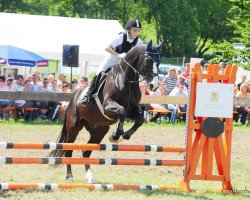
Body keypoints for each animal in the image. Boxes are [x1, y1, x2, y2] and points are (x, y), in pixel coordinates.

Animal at [49, 40, 165, 183]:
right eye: (148, 60)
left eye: (159, 62)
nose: (154, 85)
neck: (128, 80)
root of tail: (73, 96)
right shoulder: (108, 107)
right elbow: (121, 111)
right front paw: (115, 135)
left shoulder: (132, 109)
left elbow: (139, 120)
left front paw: (124, 136)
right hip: (74, 127)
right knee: (69, 149)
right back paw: (70, 176)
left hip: (99, 131)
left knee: (86, 152)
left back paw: (90, 177)